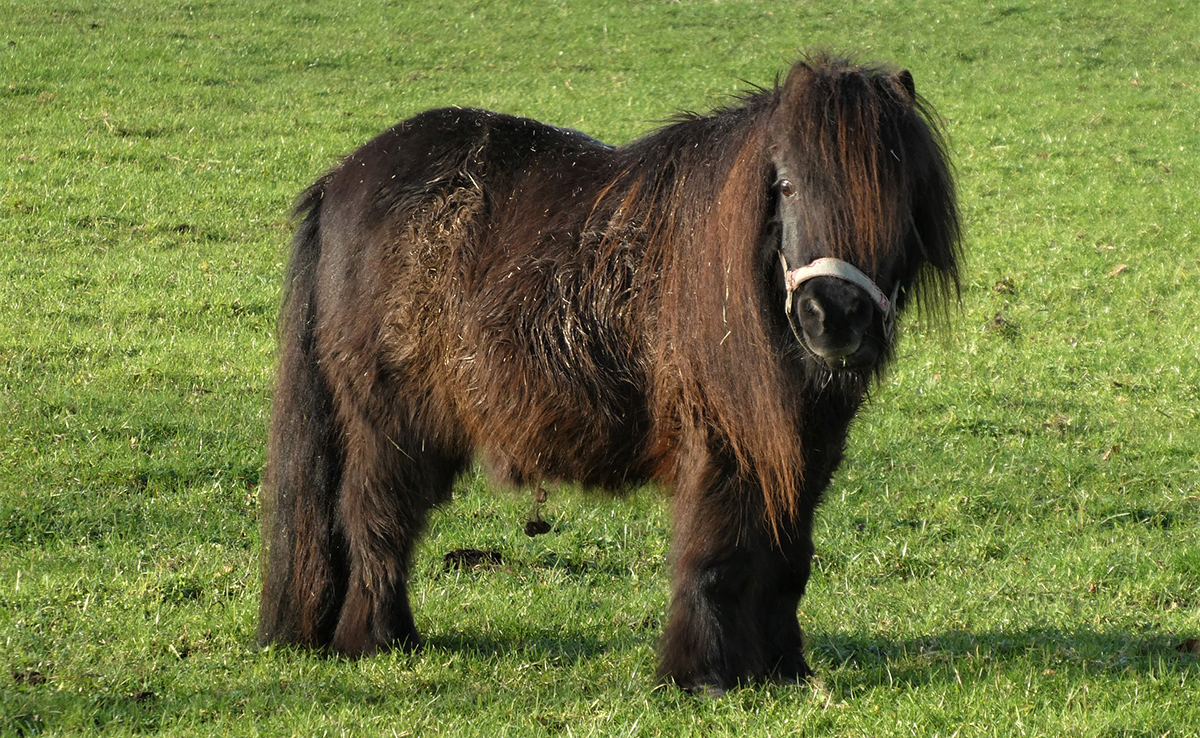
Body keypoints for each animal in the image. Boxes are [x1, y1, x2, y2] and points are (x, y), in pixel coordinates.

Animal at [258, 54, 960, 696]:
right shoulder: (721, 446)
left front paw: (783, 670)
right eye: (785, 185)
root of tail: (341, 180)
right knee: (374, 521)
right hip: (390, 424)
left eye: (898, 190)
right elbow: (716, 557)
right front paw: (701, 677)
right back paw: (379, 641)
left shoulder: (805, 449)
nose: (832, 318)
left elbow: (786, 561)